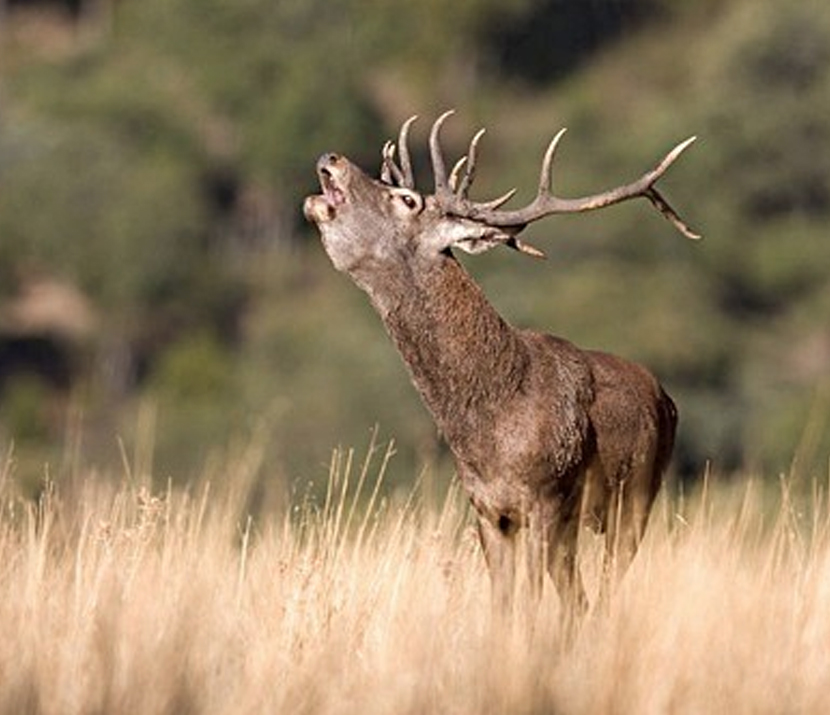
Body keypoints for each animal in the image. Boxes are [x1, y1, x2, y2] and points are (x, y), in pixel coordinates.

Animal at [302, 110, 700, 616]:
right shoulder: (489, 511)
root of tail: (668, 399)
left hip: (636, 499)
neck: (489, 427)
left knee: (603, 593)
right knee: (579, 602)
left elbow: (528, 606)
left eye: (406, 199)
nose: (331, 156)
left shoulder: (544, 499)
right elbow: (504, 607)